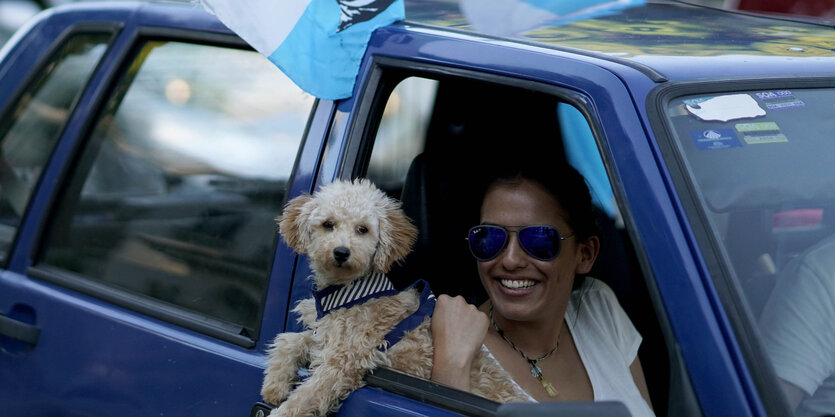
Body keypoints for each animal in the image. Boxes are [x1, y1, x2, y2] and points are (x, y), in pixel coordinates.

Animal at [262, 178, 524, 416]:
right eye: (328, 224)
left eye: (363, 229)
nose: (341, 252)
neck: (350, 293)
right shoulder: (328, 339)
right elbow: (289, 340)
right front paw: (275, 383)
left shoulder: (343, 362)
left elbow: (305, 397)